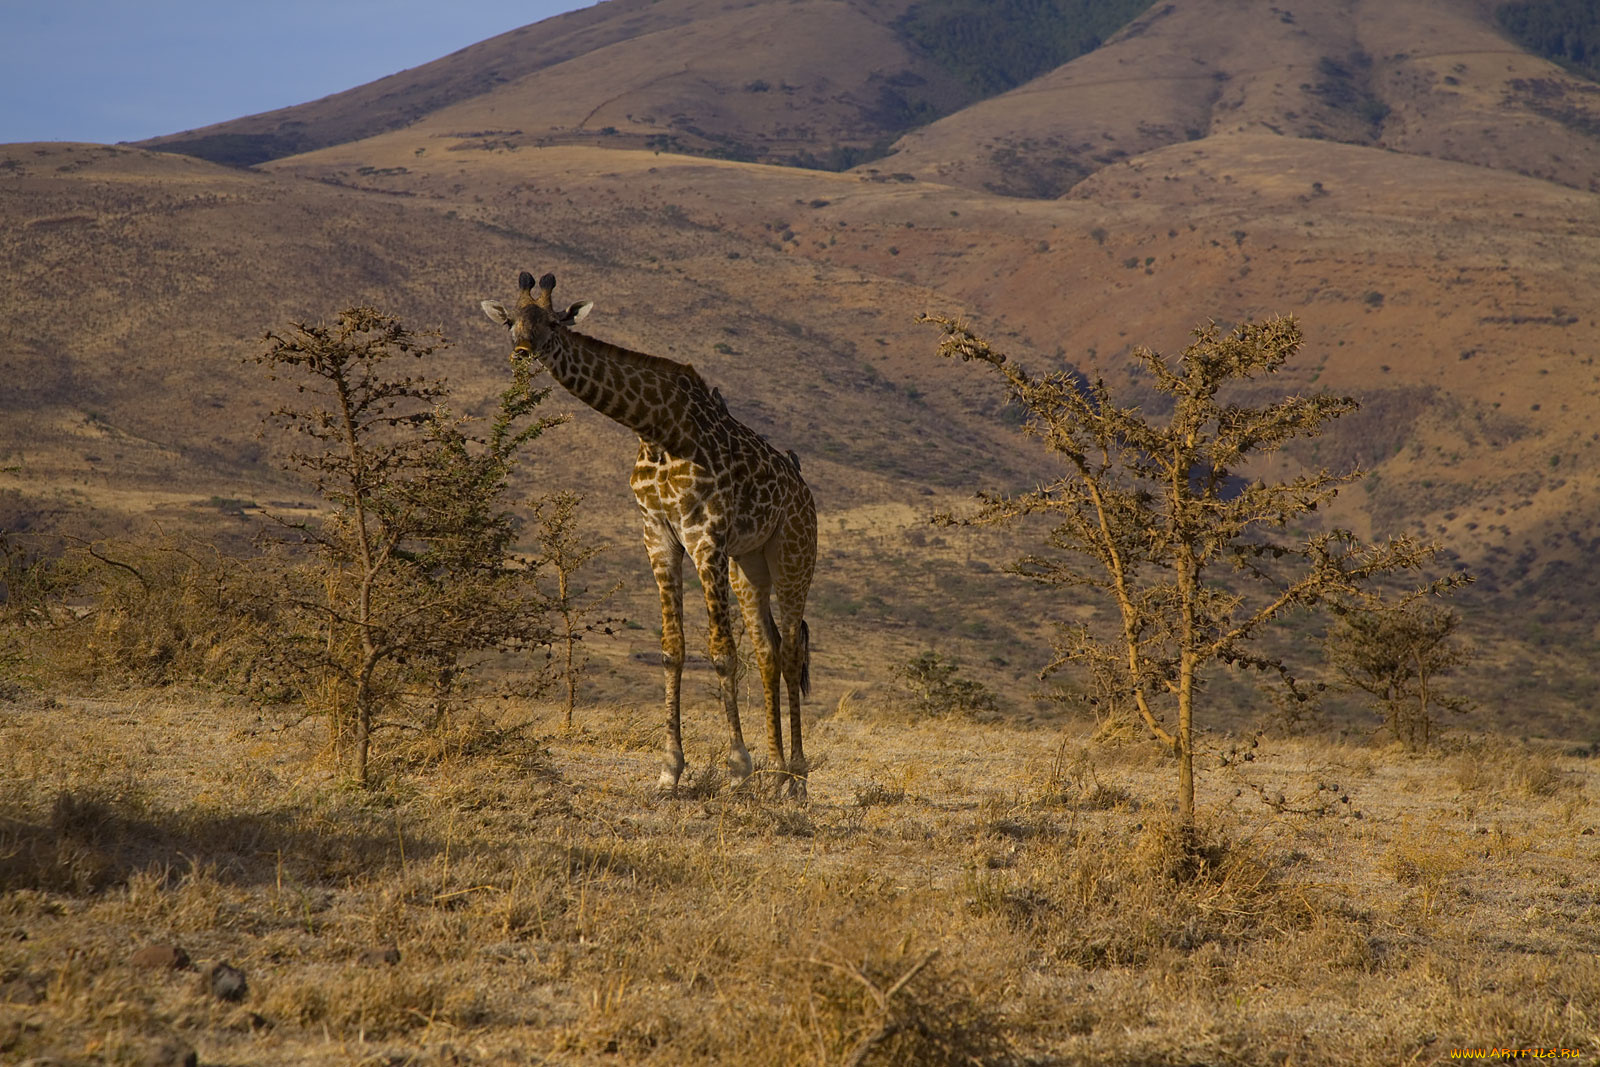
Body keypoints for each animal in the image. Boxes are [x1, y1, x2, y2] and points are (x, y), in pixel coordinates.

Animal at [480, 271, 819, 796]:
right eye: (511, 323)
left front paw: (738, 766)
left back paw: (796, 778)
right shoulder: (657, 534)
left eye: (553, 324)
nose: (521, 354)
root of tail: (804, 489)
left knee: (791, 650)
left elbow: (722, 652)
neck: (657, 429)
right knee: (768, 650)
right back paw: (778, 769)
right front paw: (670, 771)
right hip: (749, 565)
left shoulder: (705, 535)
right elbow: (671, 651)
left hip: (794, 555)